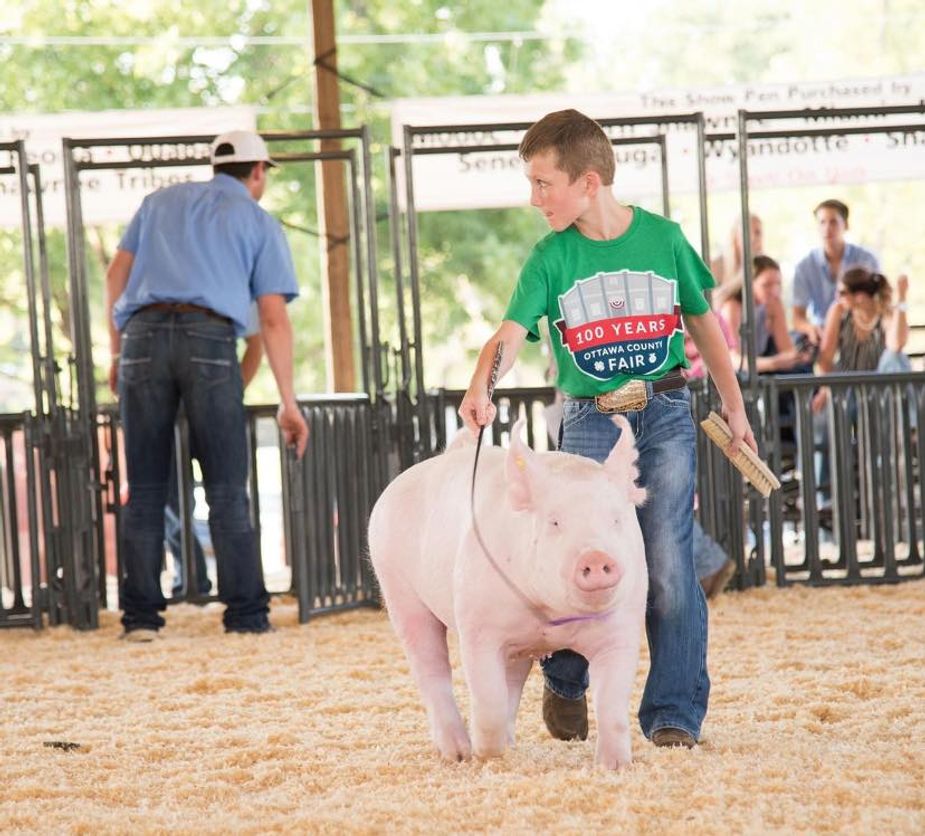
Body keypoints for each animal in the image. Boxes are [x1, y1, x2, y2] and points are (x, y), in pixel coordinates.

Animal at [364, 418, 648, 772]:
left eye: (616, 520)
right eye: (555, 522)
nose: (595, 556)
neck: (550, 616)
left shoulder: (621, 627)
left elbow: (611, 702)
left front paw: (616, 766)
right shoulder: (478, 627)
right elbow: (489, 697)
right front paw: (486, 753)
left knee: (511, 680)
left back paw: (507, 744)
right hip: (397, 587)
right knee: (430, 668)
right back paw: (458, 753)